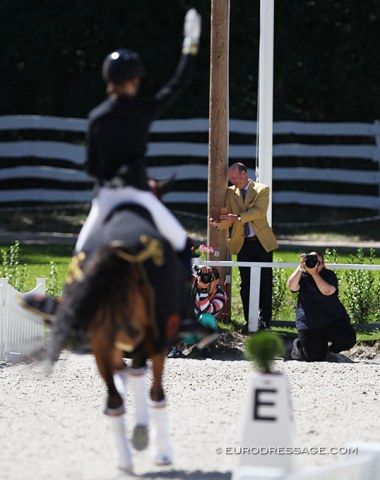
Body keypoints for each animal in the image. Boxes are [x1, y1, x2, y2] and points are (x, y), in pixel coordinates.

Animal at [45, 203, 183, 472]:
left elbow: (125, 374)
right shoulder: (149, 342)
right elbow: (146, 382)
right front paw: (149, 439)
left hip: (103, 343)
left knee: (115, 397)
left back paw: (124, 458)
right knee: (152, 392)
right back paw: (152, 450)